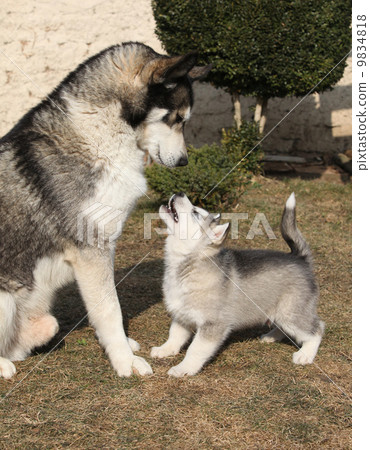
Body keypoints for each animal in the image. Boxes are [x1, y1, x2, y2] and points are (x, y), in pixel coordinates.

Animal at [0, 43, 211, 380]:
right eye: (176, 118)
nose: (183, 163)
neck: (101, 131)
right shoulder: (91, 251)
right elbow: (110, 309)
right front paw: (125, 361)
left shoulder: (105, 246)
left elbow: (110, 306)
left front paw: (124, 345)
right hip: (5, 299)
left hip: (44, 322)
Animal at [150, 192, 324, 376]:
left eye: (195, 213)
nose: (180, 193)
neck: (188, 264)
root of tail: (299, 258)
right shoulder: (182, 315)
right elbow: (175, 335)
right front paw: (165, 349)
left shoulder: (213, 325)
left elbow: (195, 349)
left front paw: (183, 368)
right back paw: (271, 336)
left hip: (291, 313)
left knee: (317, 329)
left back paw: (305, 354)